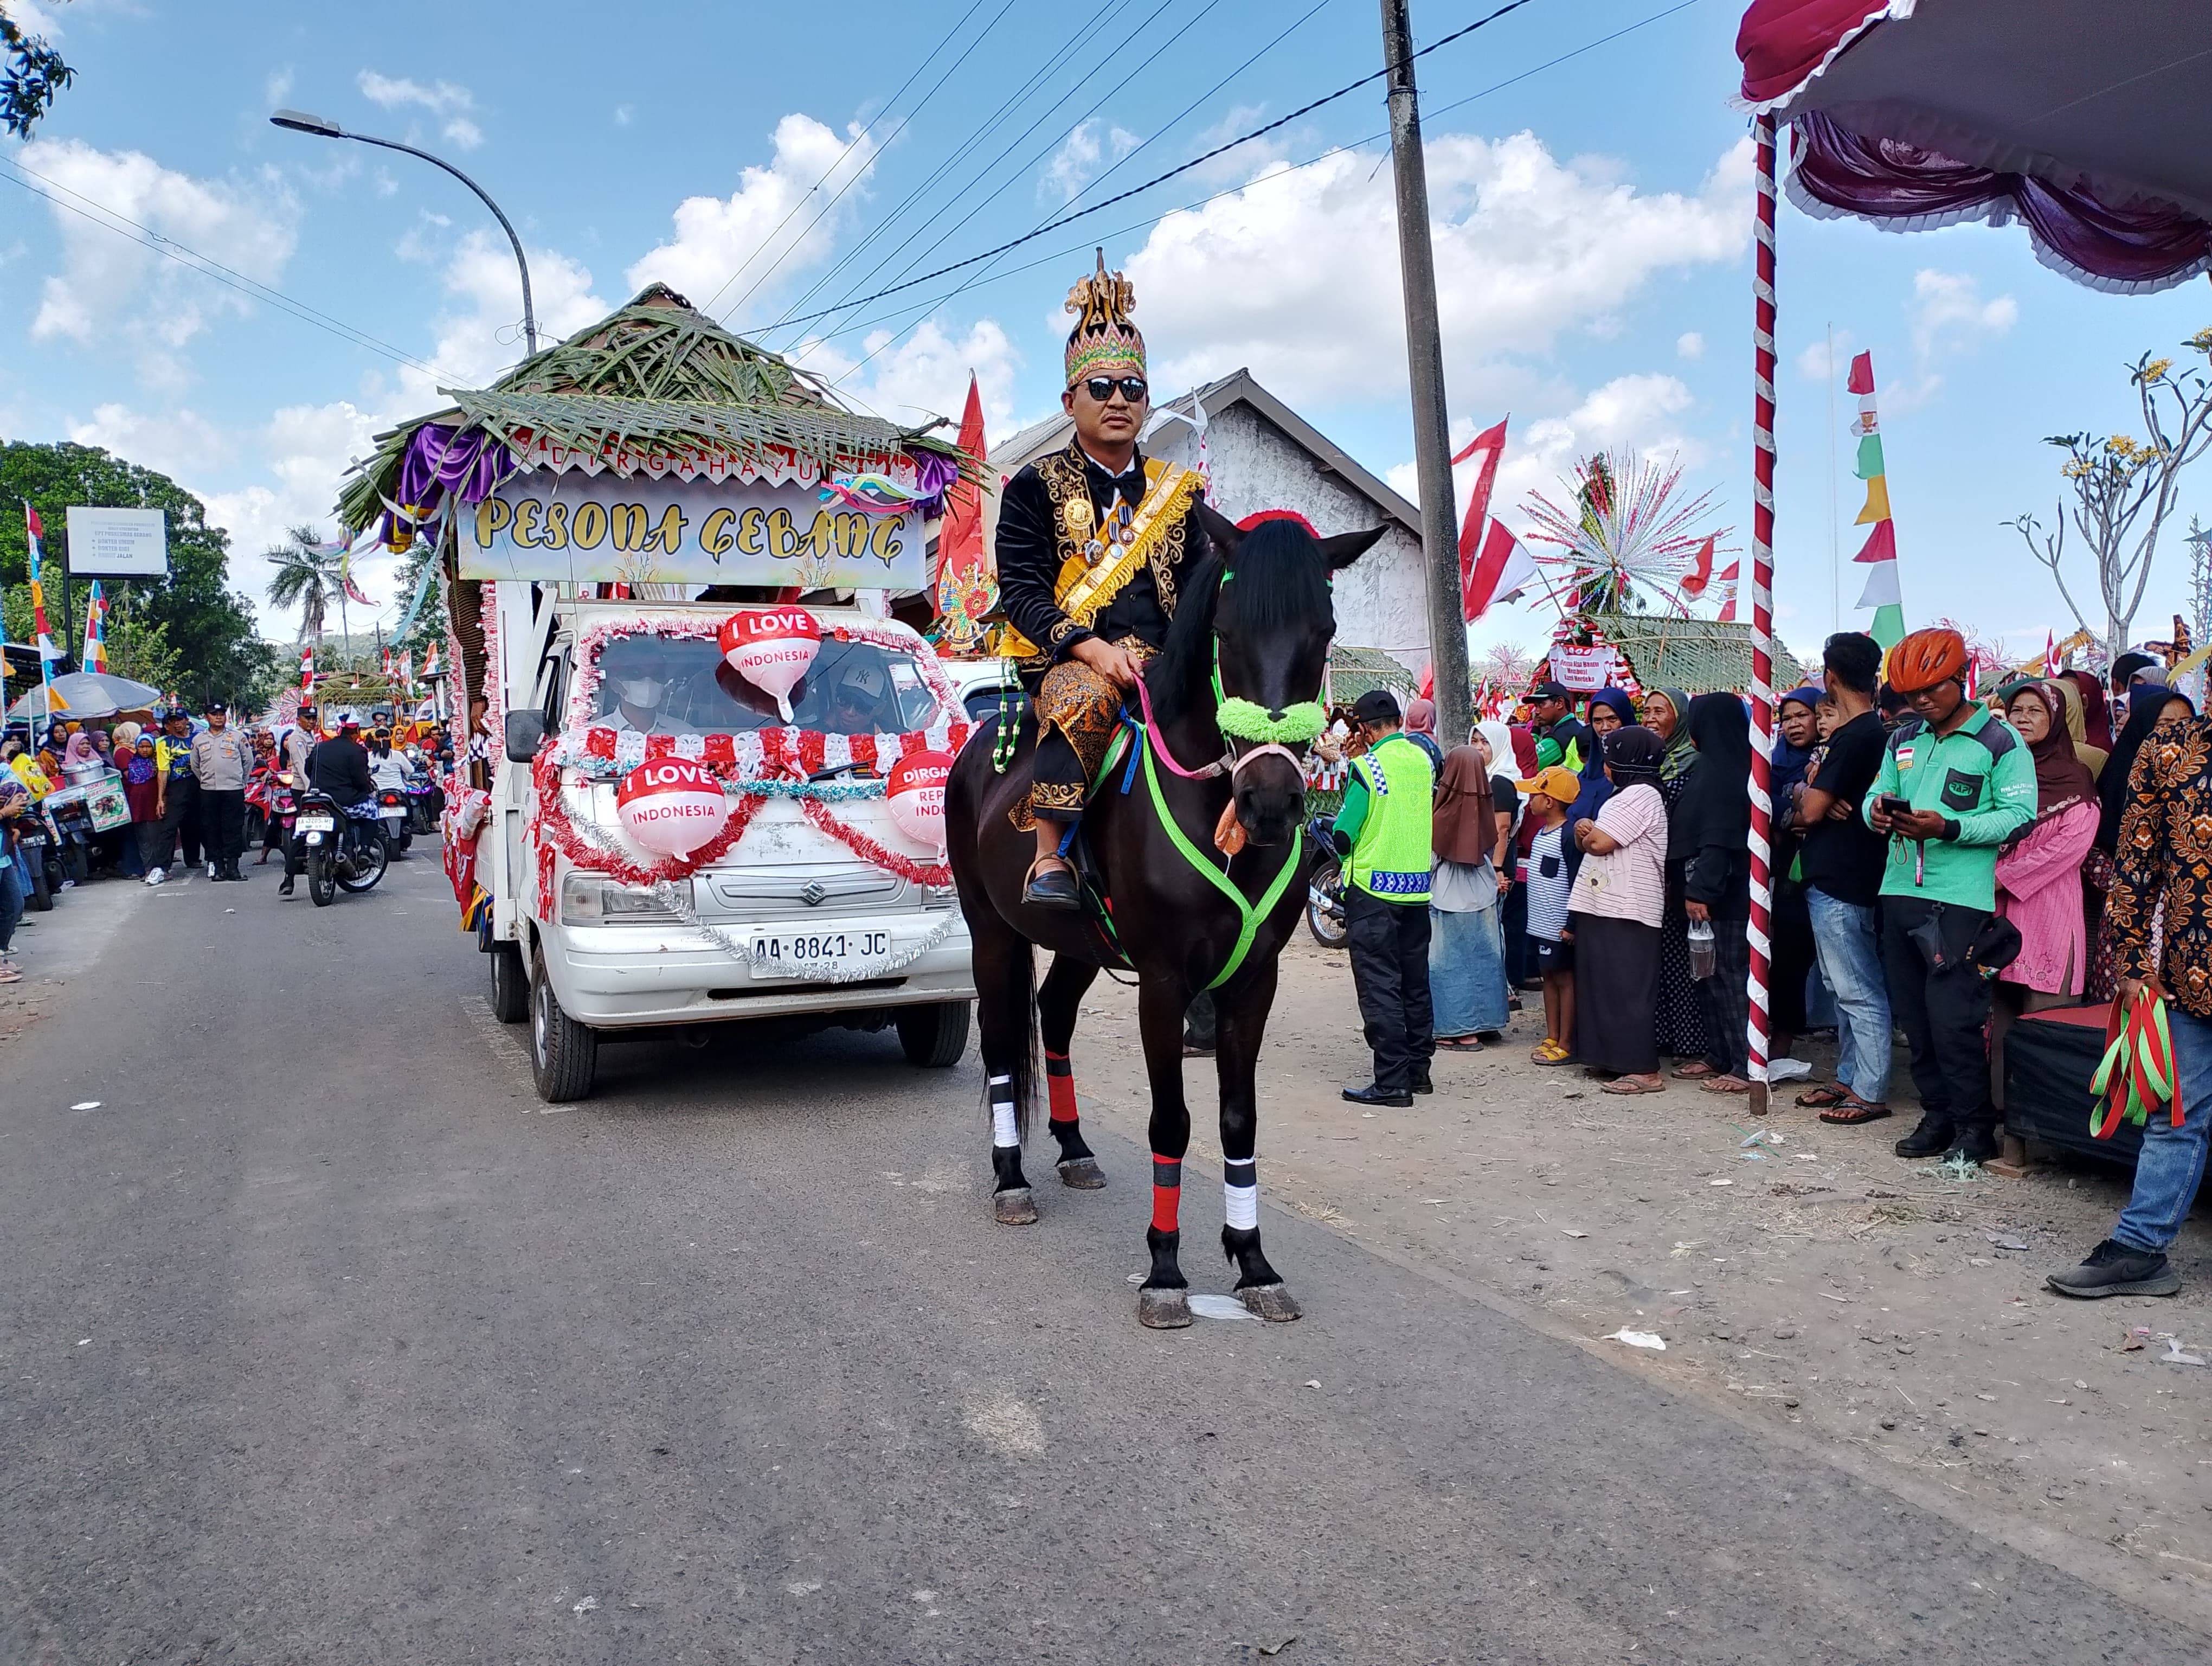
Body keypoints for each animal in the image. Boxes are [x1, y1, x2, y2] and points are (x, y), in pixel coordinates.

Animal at [947, 507, 1380, 1327]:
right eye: (1227, 633)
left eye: (1325, 630)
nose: (1271, 803)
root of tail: (983, 742)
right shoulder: (1164, 981)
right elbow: (1172, 1121)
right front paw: (1166, 1270)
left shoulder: (1253, 982)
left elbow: (1239, 1120)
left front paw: (1252, 1263)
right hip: (992, 932)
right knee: (999, 1040)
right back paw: (1011, 1177)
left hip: (1080, 943)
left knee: (1054, 1015)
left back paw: (1075, 1149)